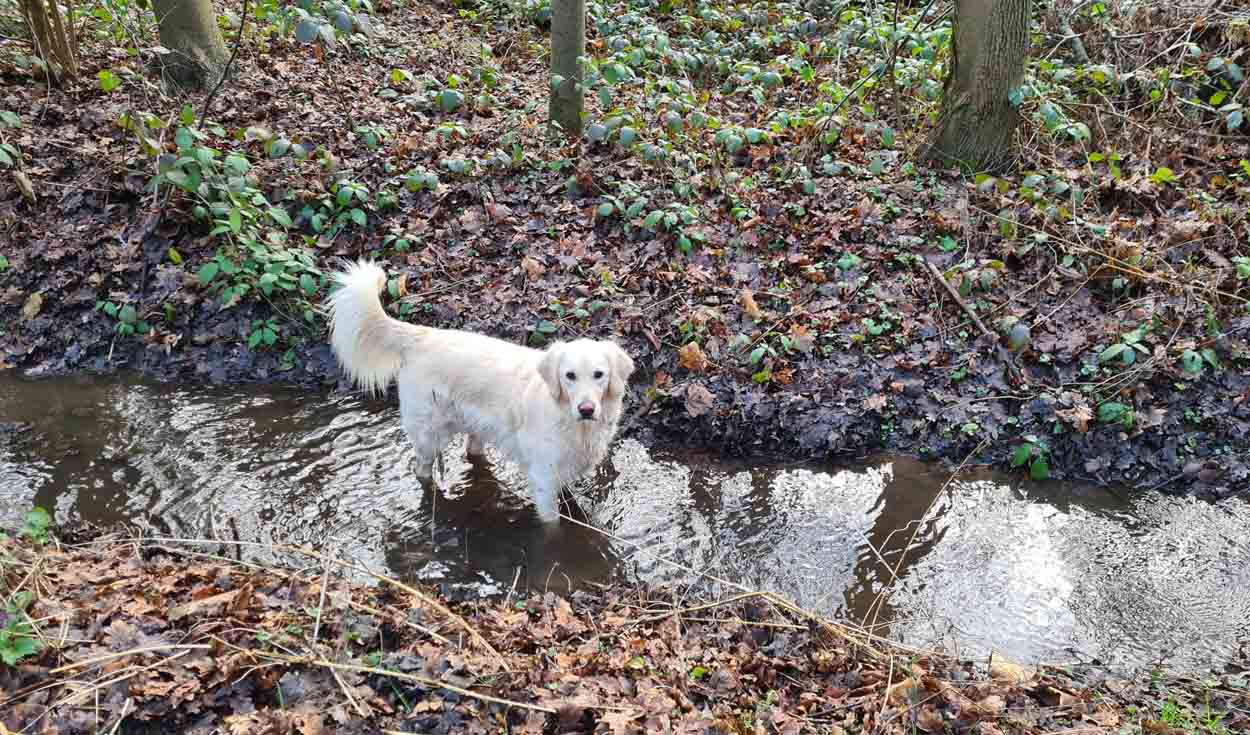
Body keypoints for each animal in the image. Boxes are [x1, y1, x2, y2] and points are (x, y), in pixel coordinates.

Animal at [322, 258, 635, 522]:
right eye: (569, 376)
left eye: (599, 375)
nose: (586, 409)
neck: (574, 424)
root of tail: (423, 334)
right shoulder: (544, 479)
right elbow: (553, 525)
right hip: (429, 432)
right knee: (421, 468)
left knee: (472, 449)